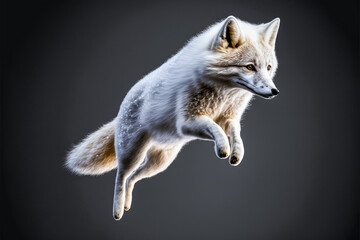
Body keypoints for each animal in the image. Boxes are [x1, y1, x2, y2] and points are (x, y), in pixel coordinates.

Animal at [67, 15, 282, 220]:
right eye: (250, 67)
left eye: (268, 67)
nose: (275, 91)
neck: (222, 94)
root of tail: (124, 104)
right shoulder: (187, 122)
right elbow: (215, 129)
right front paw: (223, 148)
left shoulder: (229, 118)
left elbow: (235, 133)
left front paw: (236, 152)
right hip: (132, 154)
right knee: (121, 177)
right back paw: (118, 211)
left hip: (160, 163)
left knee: (132, 178)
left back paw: (127, 205)